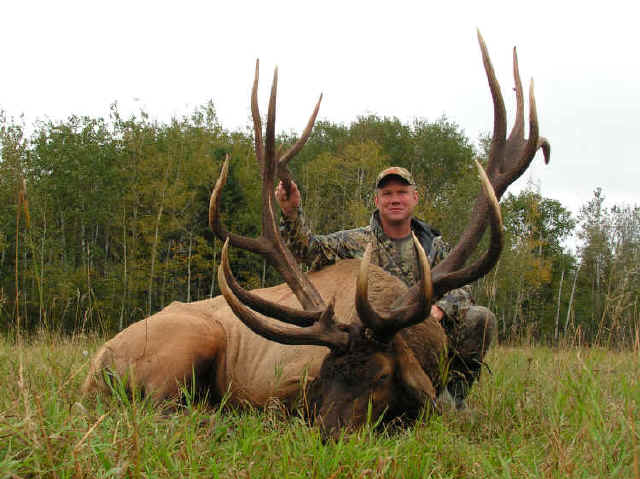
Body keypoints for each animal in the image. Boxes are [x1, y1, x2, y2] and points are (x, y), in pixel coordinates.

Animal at [83, 32, 550, 437]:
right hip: (192, 339)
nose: (328, 434)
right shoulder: (277, 384)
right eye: (325, 374)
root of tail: (95, 367)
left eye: (381, 376)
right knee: (158, 409)